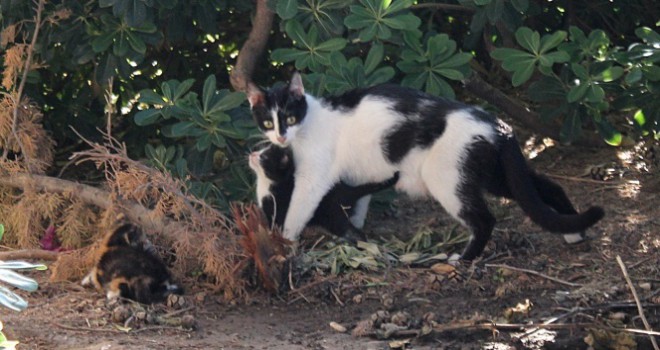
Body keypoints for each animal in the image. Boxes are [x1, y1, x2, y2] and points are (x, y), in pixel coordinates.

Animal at [250, 144, 400, 242]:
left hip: (335, 217)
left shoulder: (277, 211)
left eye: (264, 157)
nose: (252, 154)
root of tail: (347, 190)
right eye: (260, 150)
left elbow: (277, 227)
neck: (267, 184)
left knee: (352, 232)